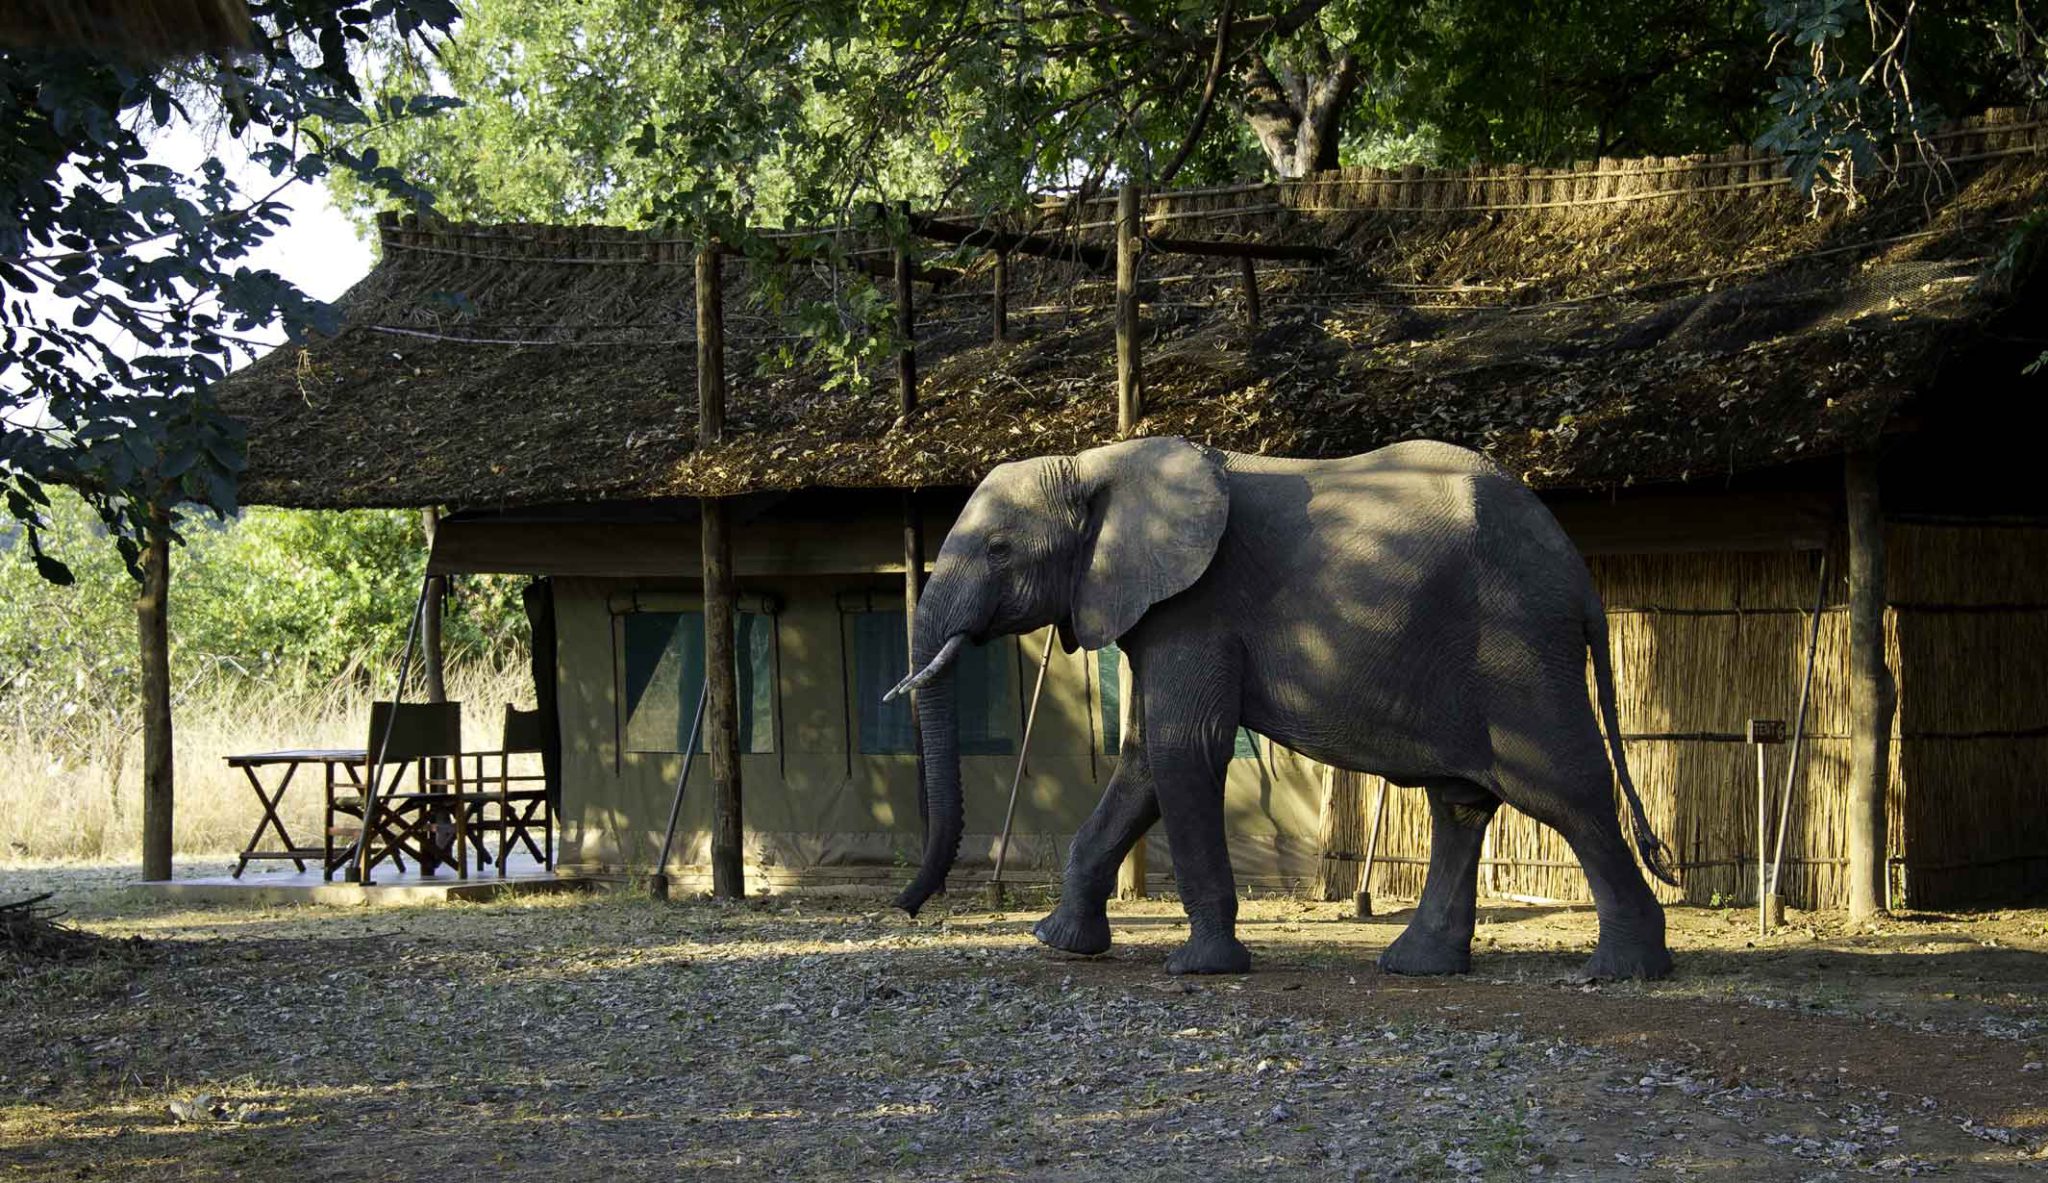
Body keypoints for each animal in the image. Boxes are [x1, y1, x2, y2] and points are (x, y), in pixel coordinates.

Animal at [886, 436, 1678, 980]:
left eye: (998, 548)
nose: (906, 907)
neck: (1096, 463)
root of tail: (1578, 574)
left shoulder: (1196, 604)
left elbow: (1182, 749)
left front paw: (1201, 969)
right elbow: (1143, 760)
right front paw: (1058, 944)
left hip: (1516, 641)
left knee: (1561, 789)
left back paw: (1622, 973)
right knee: (1461, 801)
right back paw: (1416, 966)